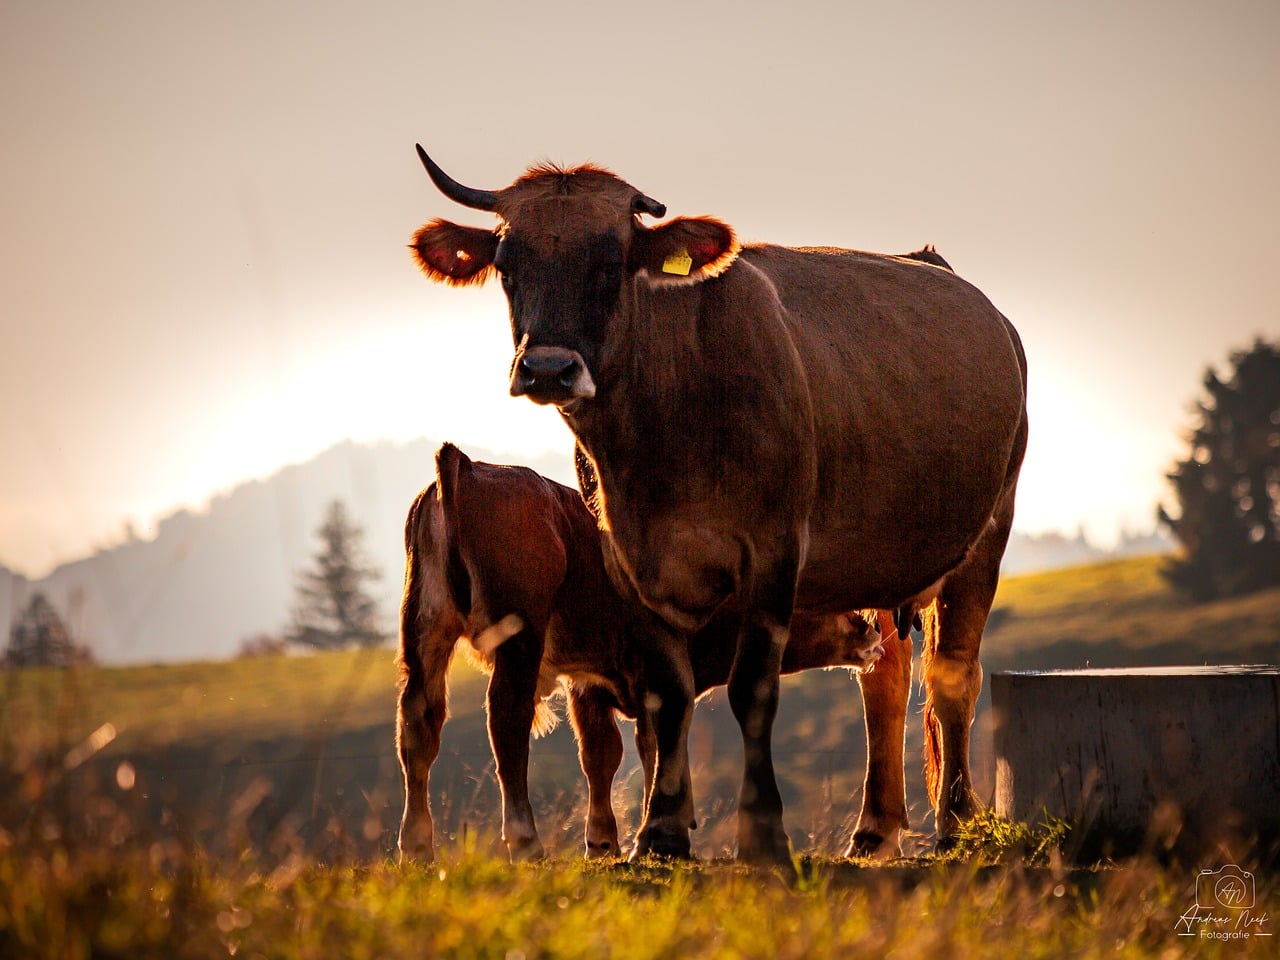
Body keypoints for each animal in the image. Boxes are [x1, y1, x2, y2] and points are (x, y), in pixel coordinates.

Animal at [396, 442, 890, 862]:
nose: (873, 633)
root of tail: (466, 467)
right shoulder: (649, 675)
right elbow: (651, 744)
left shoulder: (591, 683)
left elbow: (610, 754)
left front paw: (607, 842)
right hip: (518, 639)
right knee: (508, 721)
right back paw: (525, 841)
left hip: (425, 632)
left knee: (420, 722)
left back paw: (417, 847)